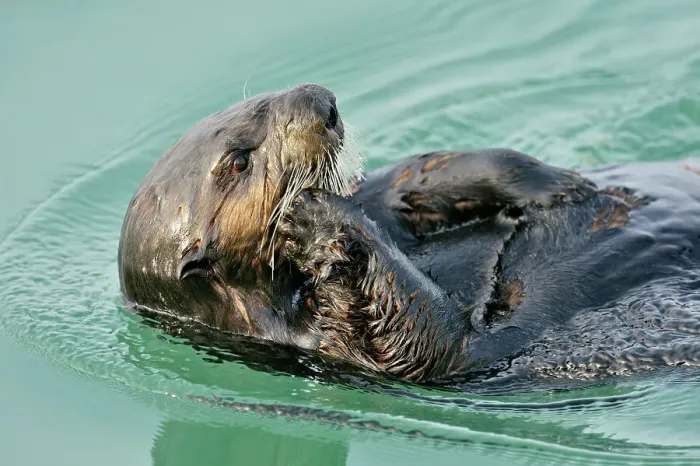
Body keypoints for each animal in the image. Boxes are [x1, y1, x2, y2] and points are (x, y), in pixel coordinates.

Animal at [118, 83, 700, 383]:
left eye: (251, 103)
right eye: (238, 161)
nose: (323, 101)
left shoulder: (386, 200)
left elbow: (415, 179)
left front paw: (552, 183)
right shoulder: (338, 348)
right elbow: (431, 342)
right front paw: (312, 215)